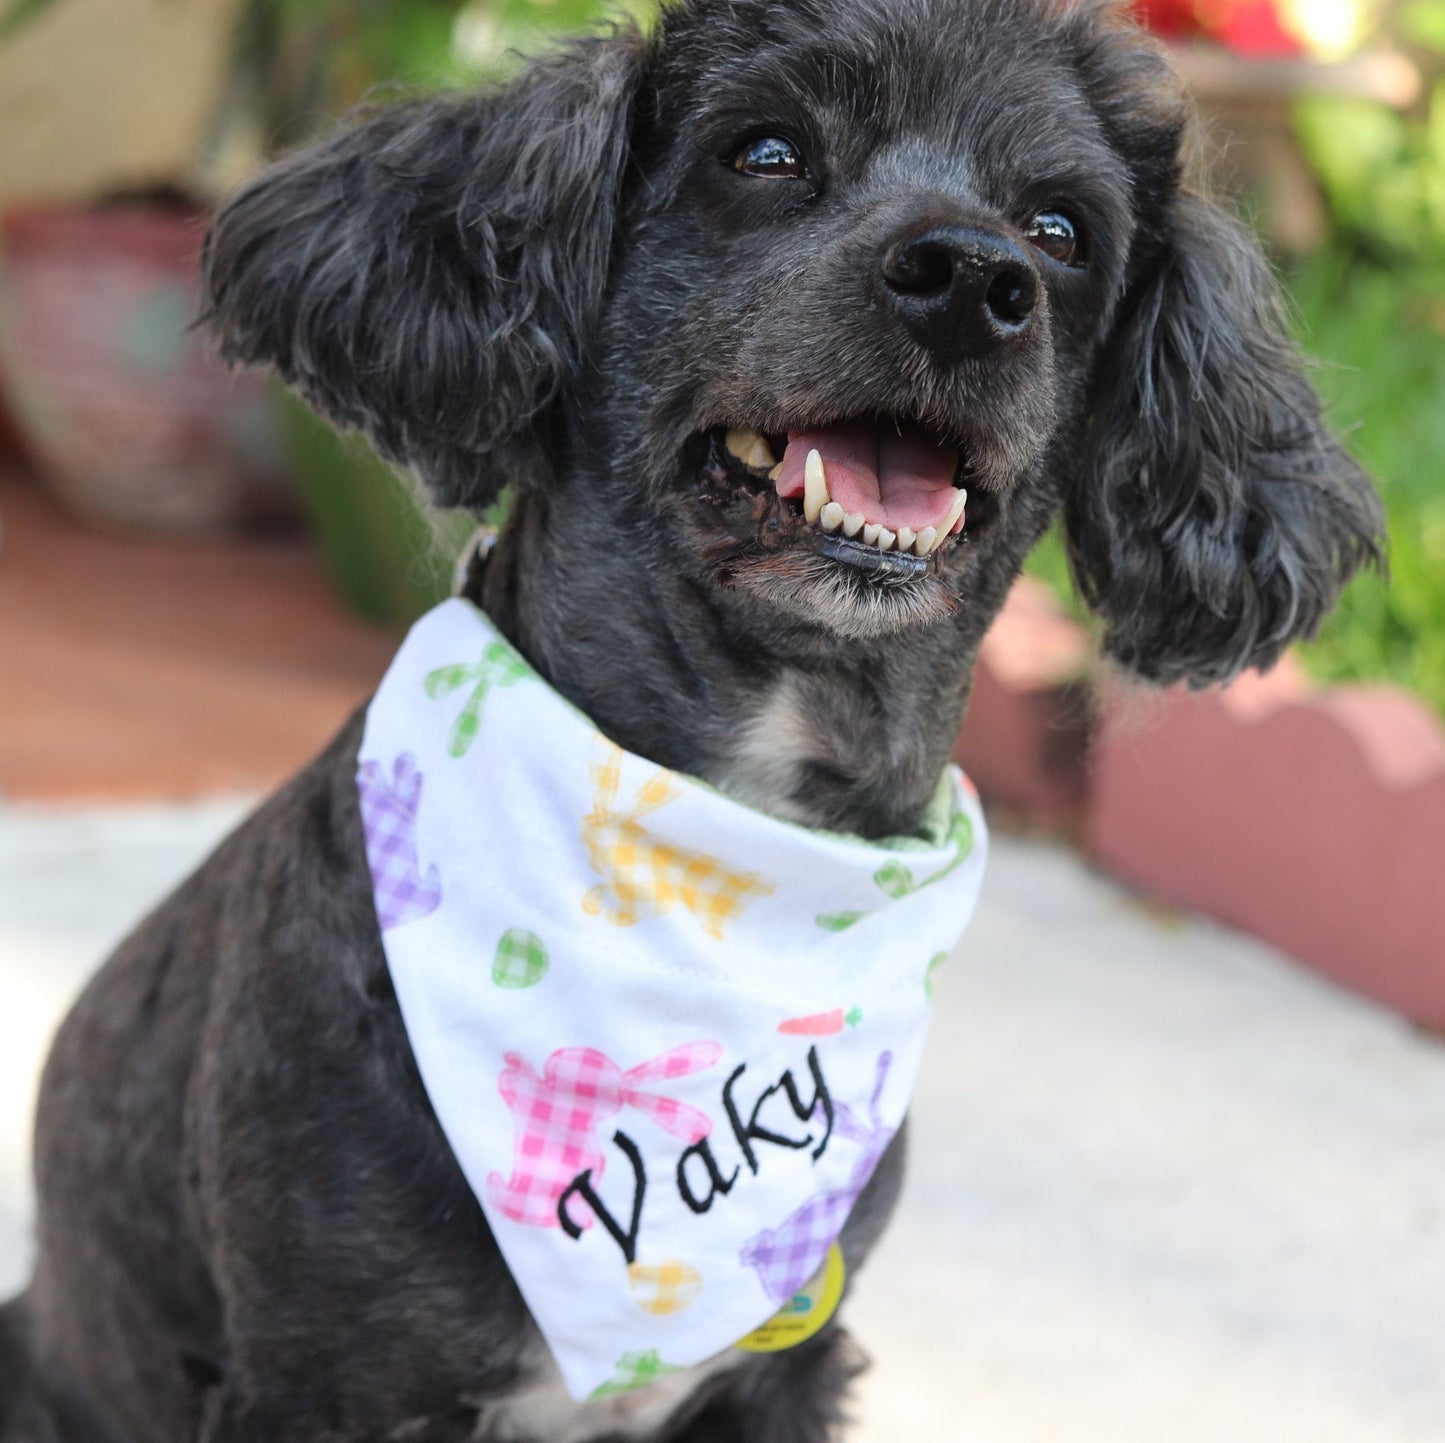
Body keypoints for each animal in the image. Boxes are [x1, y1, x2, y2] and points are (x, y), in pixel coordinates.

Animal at [0, 0, 1381, 1438]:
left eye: (1059, 231)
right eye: (763, 152)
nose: (969, 280)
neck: (731, 853)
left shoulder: (785, 1368)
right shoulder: (323, 1378)